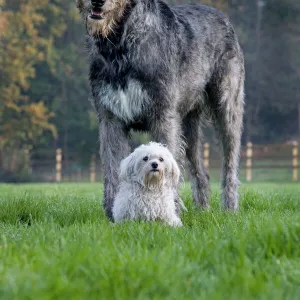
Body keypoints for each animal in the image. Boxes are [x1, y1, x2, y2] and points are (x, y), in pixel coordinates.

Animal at [76, 0, 245, 220]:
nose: (98, 2)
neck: (121, 43)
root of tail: (223, 17)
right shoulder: (110, 119)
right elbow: (113, 167)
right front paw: (113, 214)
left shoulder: (163, 117)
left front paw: (169, 210)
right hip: (187, 125)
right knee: (200, 169)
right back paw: (203, 209)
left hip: (227, 108)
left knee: (230, 162)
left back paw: (230, 208)